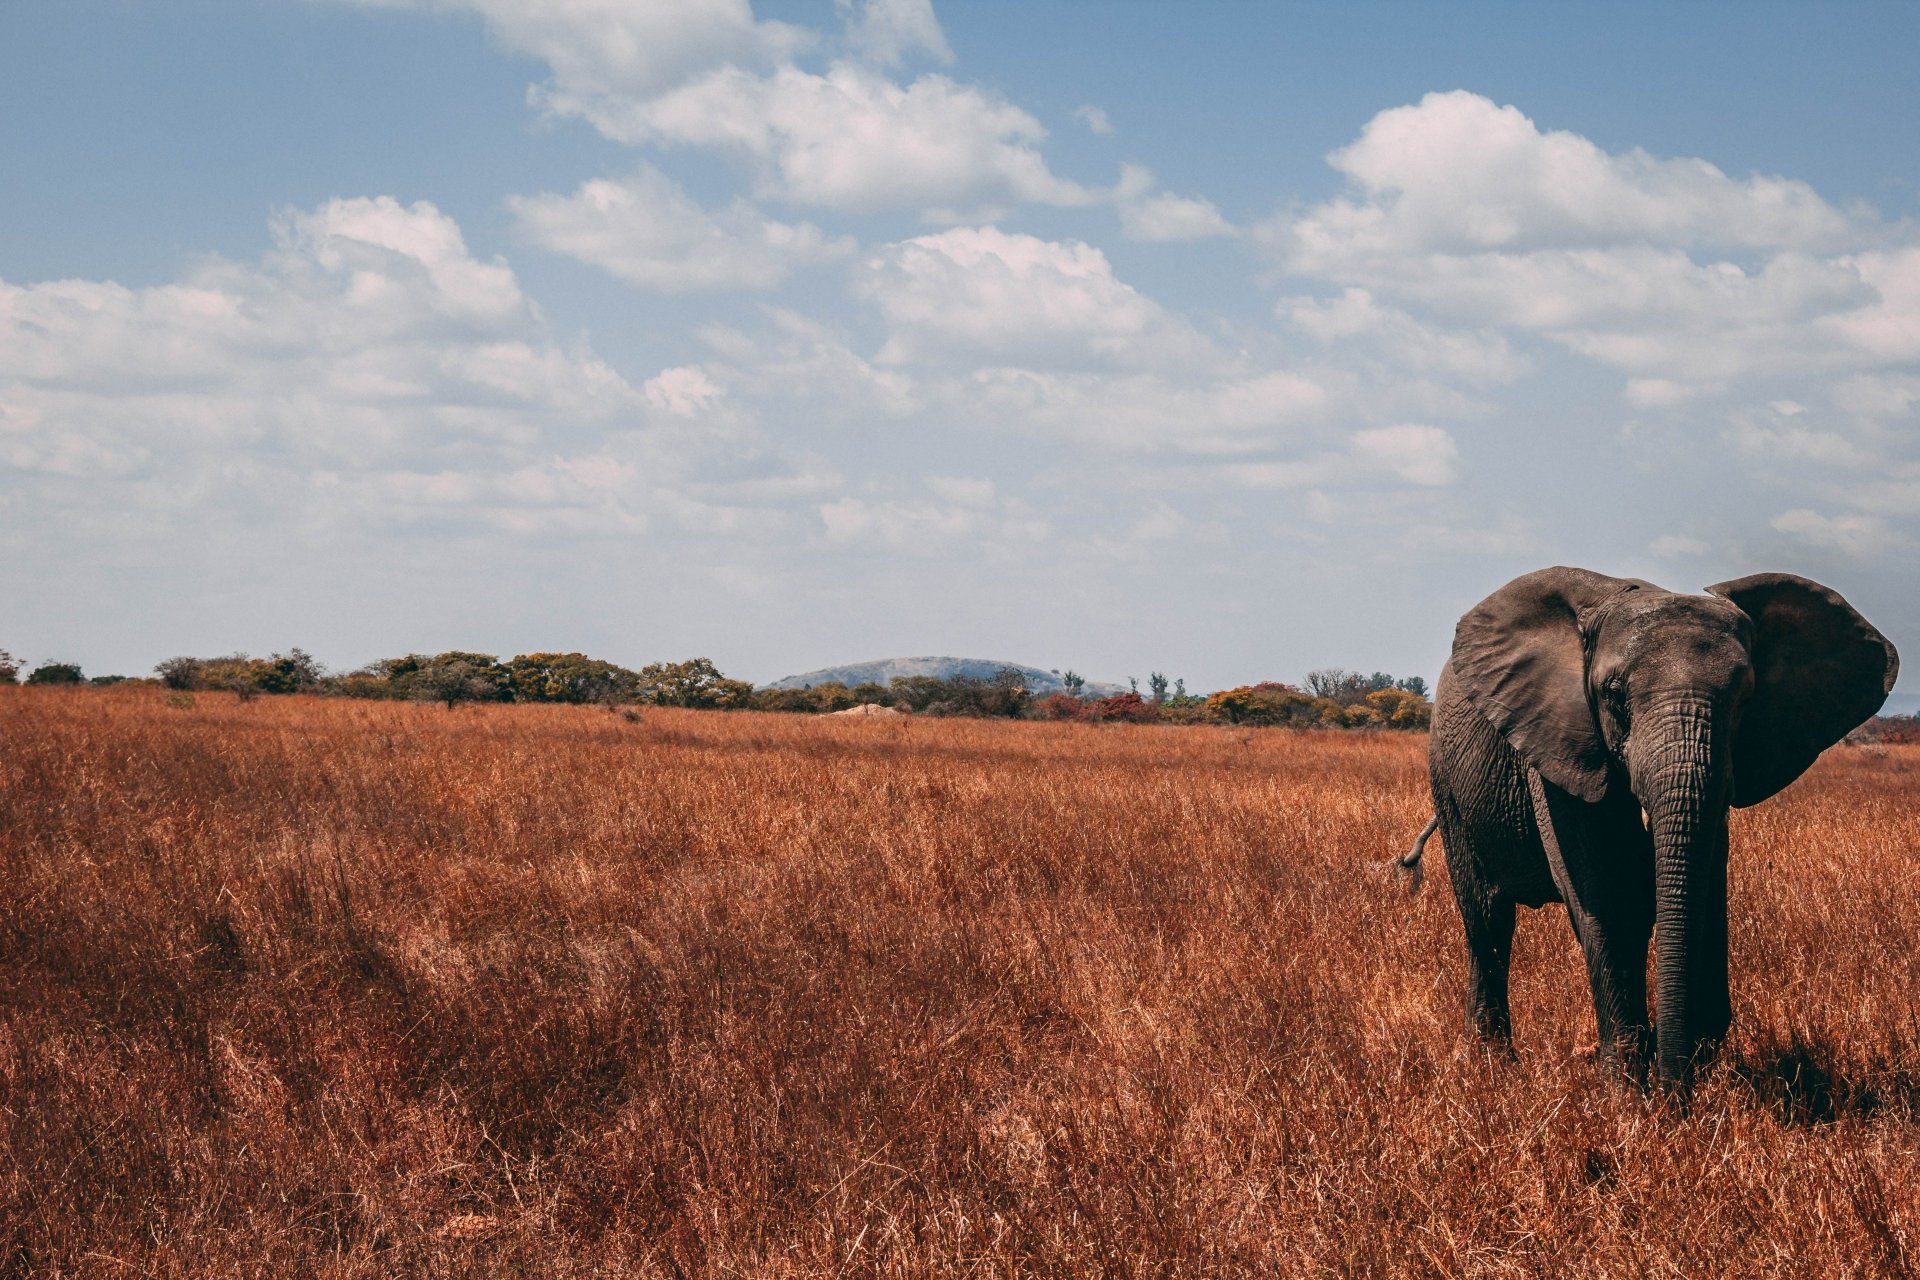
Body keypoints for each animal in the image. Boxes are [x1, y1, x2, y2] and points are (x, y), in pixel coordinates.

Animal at [1405, 567, 1897, 1087]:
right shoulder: (1559, 739)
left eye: (1745, 697)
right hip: (1448, 781)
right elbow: (1605, 891)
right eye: (1613, 695)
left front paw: (1686, 1062)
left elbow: (1703, 887)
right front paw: (1625, 1089)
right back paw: (1493, 1066)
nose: (1673, 1088)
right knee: (1487, 916)